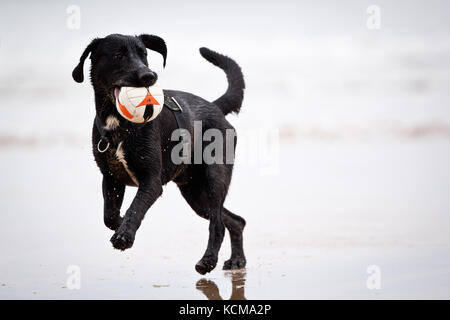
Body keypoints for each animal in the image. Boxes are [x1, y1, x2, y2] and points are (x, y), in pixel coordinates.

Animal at [72, 33, 246, 276]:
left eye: (144, 54)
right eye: (118, 55)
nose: (149, 76)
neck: (119, 125)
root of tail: (215, 106)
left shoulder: (152, 182)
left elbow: (135, 207)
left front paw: (124, 236)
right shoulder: (111, 179)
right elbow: (110, 216)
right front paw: (121, 224)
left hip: (215, 176)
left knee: (218, 223)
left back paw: (208, 261)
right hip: (195, 193)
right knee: (234, 219)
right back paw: (238, 260)